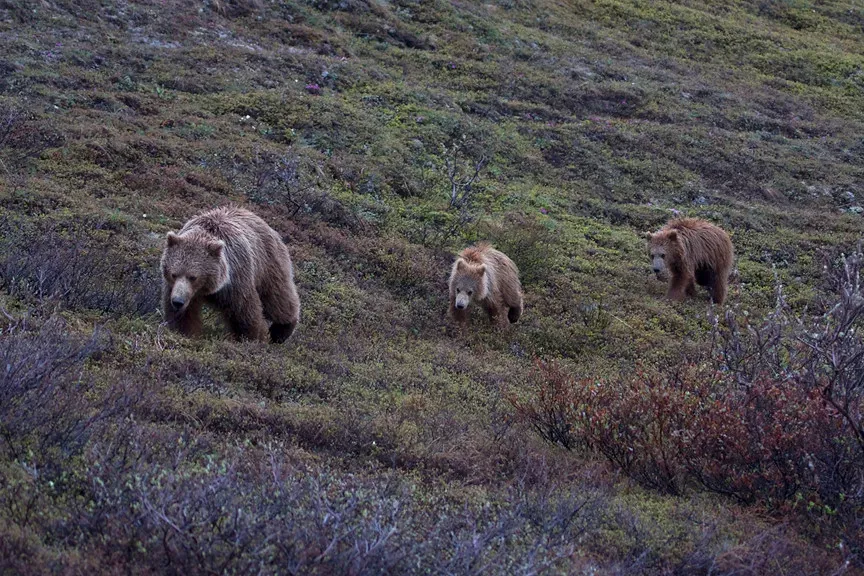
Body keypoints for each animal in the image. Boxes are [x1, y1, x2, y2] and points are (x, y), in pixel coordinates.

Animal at [161, 205, 300, 343]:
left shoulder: (235, 281)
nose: (178, 301)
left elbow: (245, 312)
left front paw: (254, 338)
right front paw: (183, 332)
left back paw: (281, 331)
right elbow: (185, 316)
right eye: (174, 274)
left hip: (268, 264)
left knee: (278, 299)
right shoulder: (177, 289)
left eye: (193, 277)